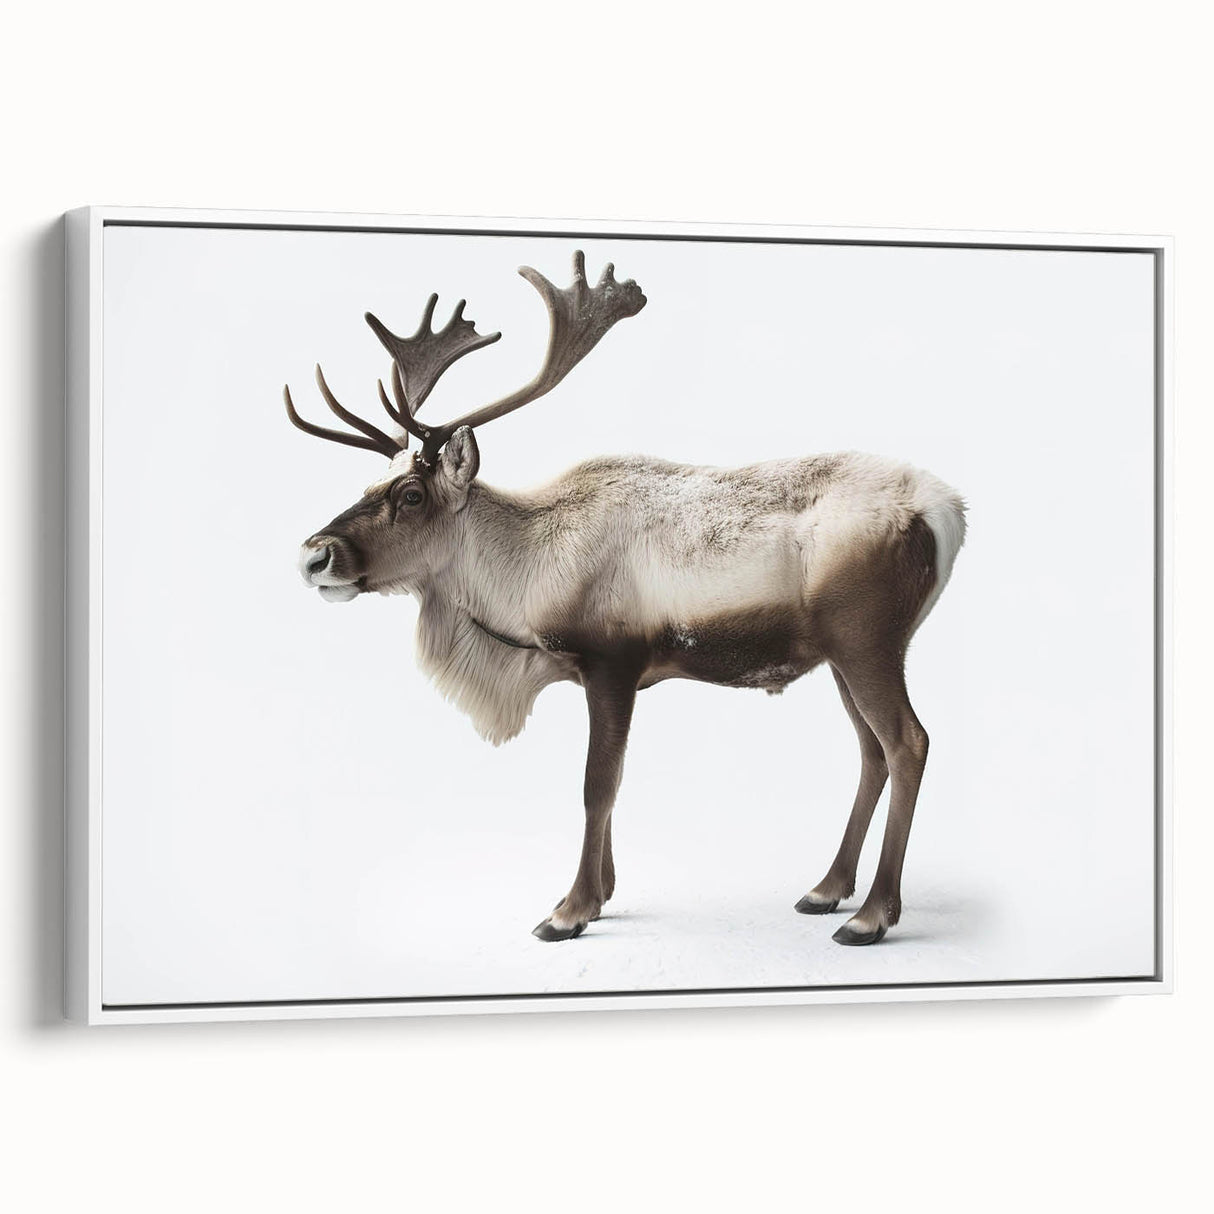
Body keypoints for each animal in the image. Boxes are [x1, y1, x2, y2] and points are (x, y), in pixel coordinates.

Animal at [285, 250, 966, 946]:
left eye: (412, 494)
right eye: (369, 484)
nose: (313, 555)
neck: (526, 577)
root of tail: (949, 512)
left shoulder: (611, 662)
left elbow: (597, 785)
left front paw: (569, 910)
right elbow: (609, 786)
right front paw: (603, 893)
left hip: (867, 640)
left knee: (907, 742)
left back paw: (871, 914)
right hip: (840, 654)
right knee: (871, 751)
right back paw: (826, 889)